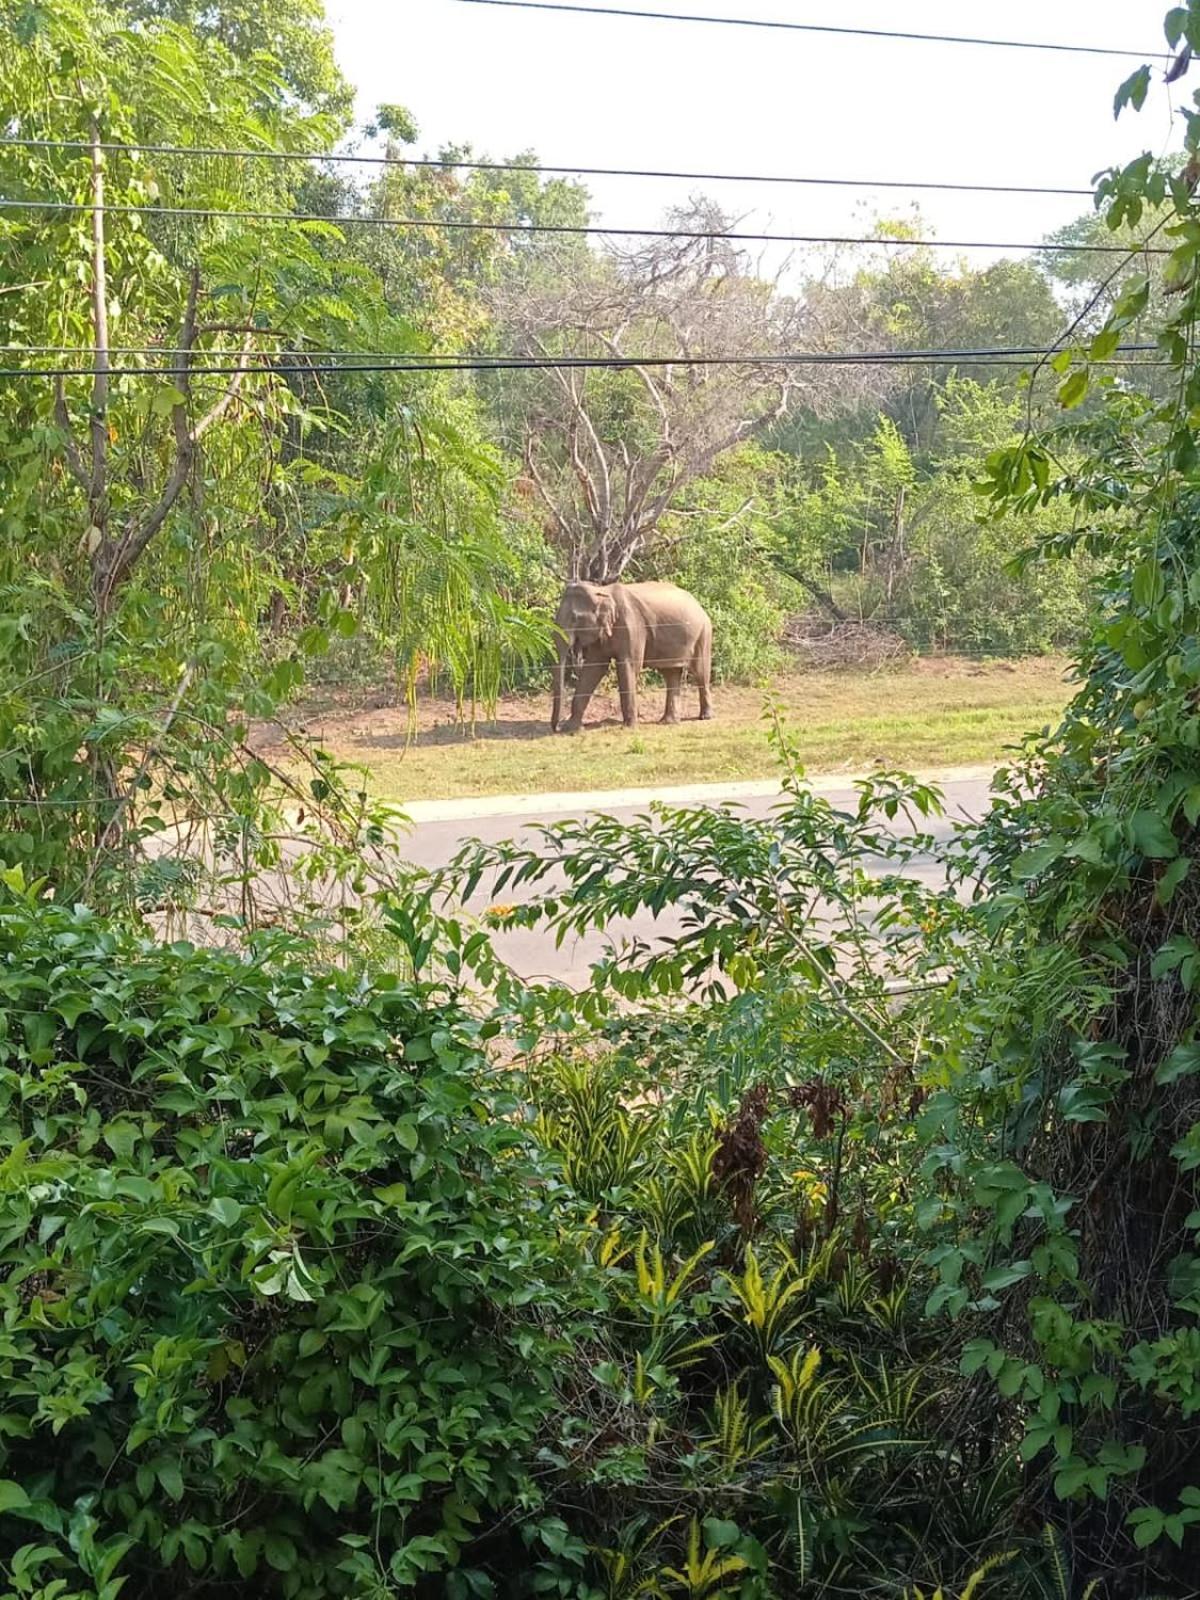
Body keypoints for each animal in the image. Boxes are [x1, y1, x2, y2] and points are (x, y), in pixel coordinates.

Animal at [553, 579, 713, 732]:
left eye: (574, 618)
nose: (557, 728)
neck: (602, 590)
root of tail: (698, 604)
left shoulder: (632, 626)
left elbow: (629, 665)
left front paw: (629, 726)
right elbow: (594, 668)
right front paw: (572, 728)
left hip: (703, 633)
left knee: (700, 672)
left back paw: (705, 717)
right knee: (671, 673)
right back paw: (668, 721)